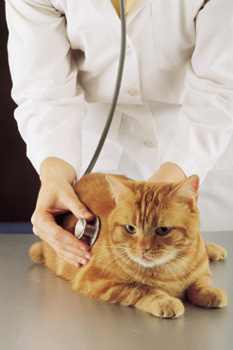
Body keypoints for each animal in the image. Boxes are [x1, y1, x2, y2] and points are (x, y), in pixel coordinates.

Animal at [29, 174, 228, 318]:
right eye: (130, 228)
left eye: (163, 230)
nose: (143, 249)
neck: (170, 269)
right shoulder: (94, 281)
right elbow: (141, 289)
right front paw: (164, 300)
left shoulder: (200, 269)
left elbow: (199, 281)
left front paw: (208, 291)